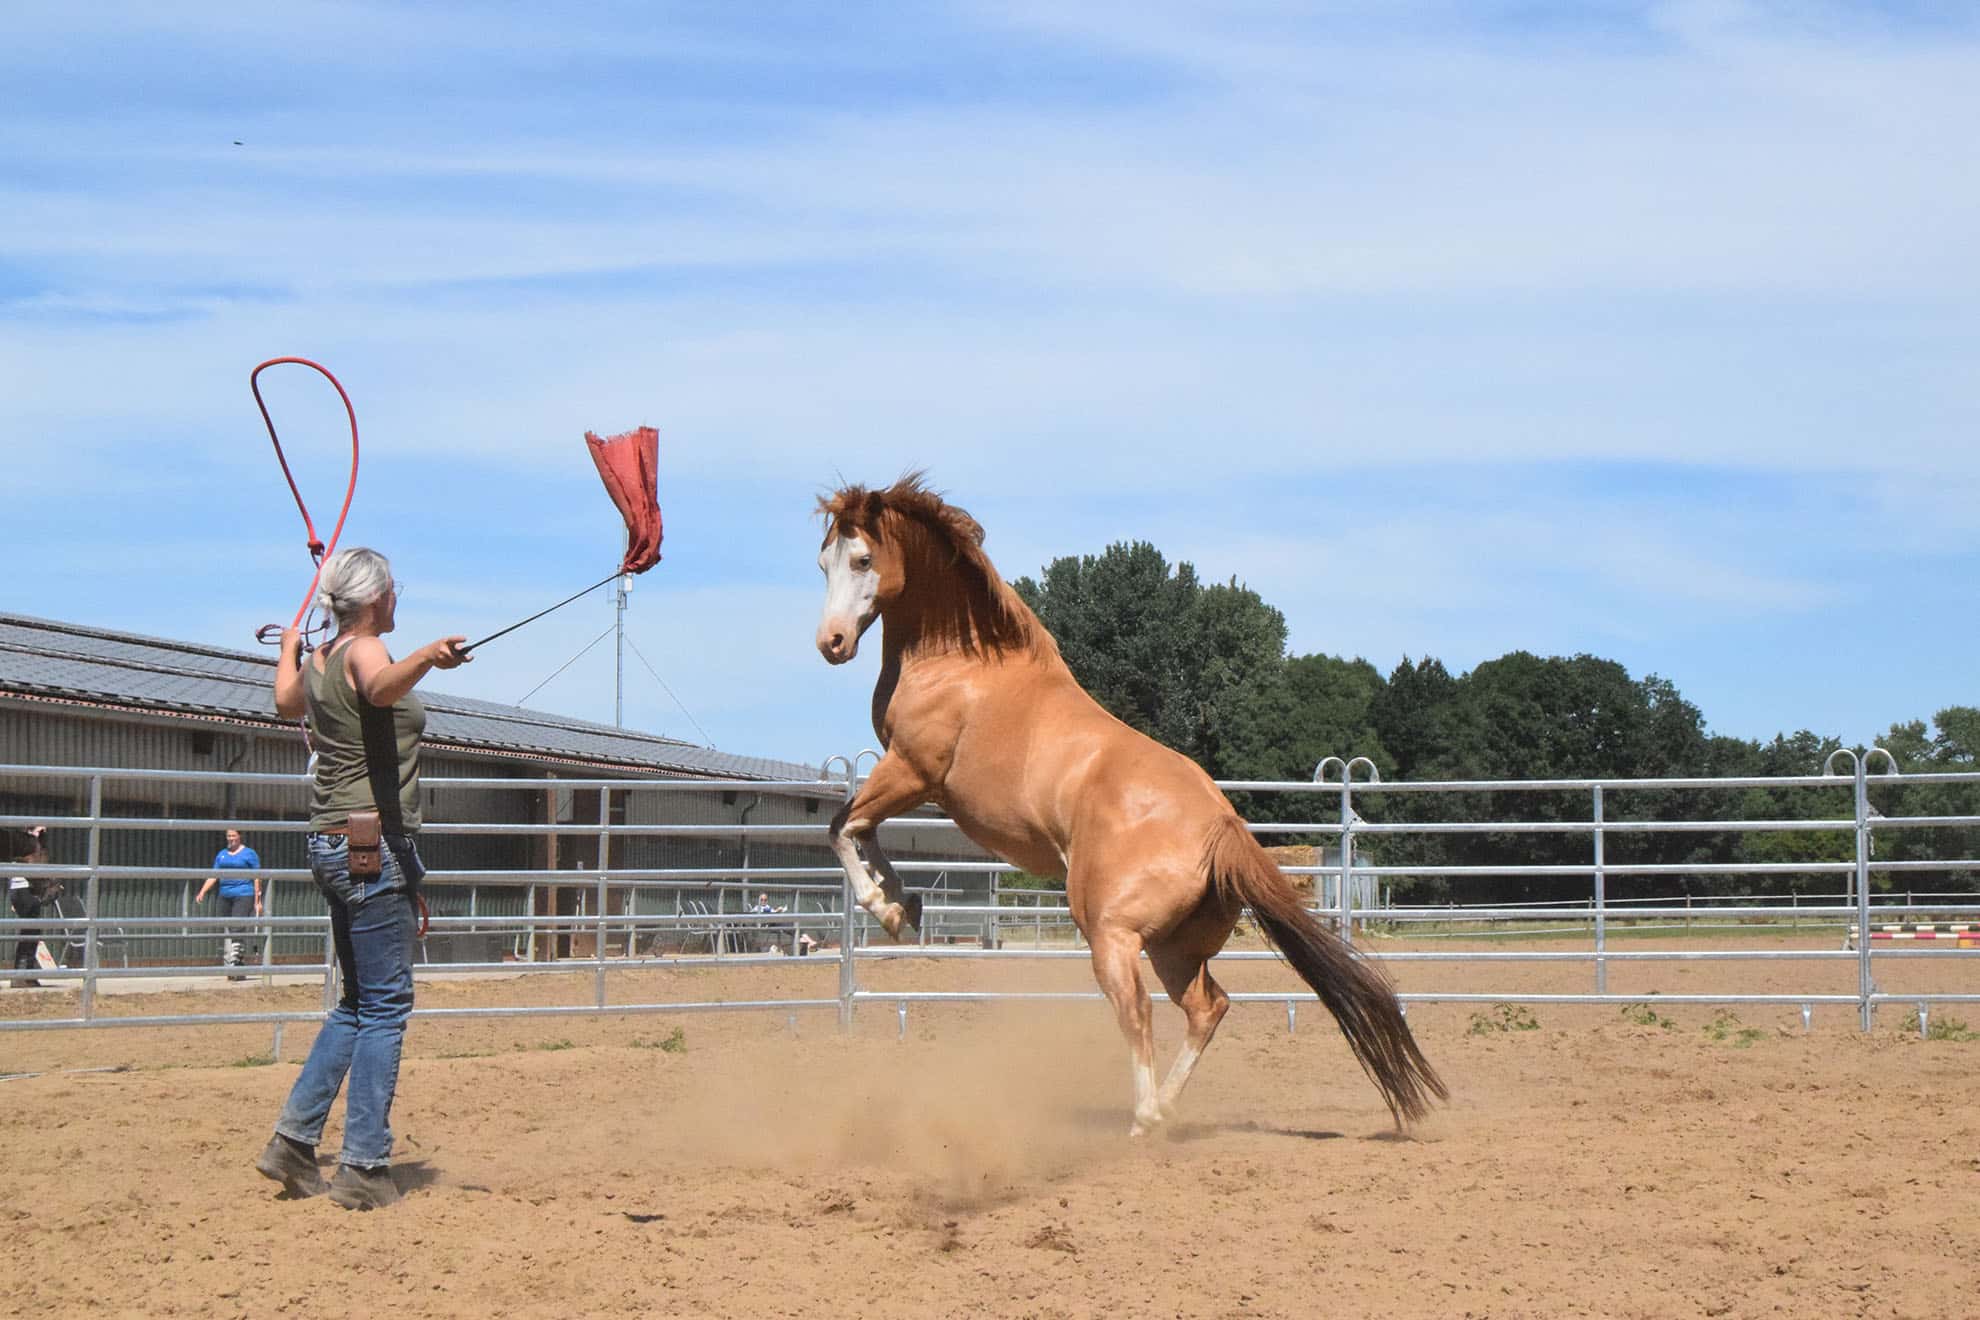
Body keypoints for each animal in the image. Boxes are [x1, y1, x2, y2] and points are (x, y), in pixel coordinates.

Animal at [813, 475, 1446, 1136]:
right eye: (823, 561)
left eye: (863, 560)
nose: (831, 643)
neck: (963, 664)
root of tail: (1222, 827)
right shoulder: (910, 780)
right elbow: (861, 828)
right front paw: (903, 903)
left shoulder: (912, 770)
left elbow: (843, 826)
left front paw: (885, 907)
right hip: (1177, 947)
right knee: (1207, 1007)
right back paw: (1163, 1108)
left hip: (1112, 934)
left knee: (1138, 1012)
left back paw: (1143, 1118)